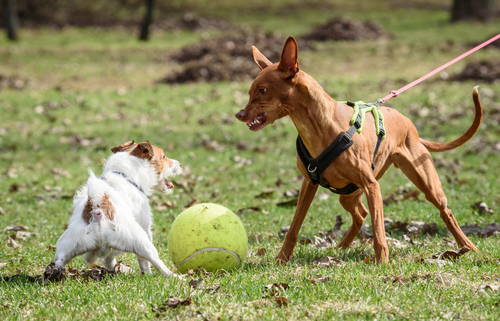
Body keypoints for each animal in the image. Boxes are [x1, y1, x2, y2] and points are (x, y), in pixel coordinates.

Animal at [53, 140, 183, 278]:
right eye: (163, 156)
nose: (180, 164)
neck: (126, 176)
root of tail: (98, 211)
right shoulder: (145, 225)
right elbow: (144, 262)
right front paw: (147, 274)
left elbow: (109, 259)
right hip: (142, 242)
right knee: (157, 263)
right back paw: (176, 277)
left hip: (66, 247)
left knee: (59, 262)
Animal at [236, 37, 482, 262]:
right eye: (250, 92)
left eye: (262, 90)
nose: (239, 114)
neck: (319, 127)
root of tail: (410, 124)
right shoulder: (309, 183)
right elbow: (294, 227)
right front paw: (281, 259)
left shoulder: (372, 186)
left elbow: (378, 230)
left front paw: (382, 263)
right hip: (348, 195)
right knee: (361, 214)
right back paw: (341, 247)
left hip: (426, 183)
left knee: (445, 212)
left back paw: (468, 246)